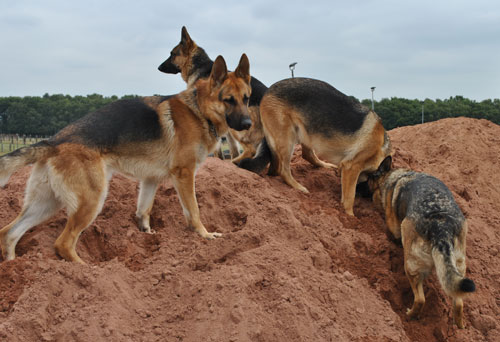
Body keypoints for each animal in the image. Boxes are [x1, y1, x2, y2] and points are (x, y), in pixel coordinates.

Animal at [0, 54, 250, 264]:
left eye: (247, 99)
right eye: (229, 100)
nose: (248, 124)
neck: (198, 108)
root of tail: (54, 141)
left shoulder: (151, 180)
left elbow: (144, 210)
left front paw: (146, 235)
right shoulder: (184, 175)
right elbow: (194, 211)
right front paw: (205, 236)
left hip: (46, 204)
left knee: (9, 233)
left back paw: (13, 267)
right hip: (91, 200)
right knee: (62, 243)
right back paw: (87, 269)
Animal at [240, 78, 392, 215]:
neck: (381, 148)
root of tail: (268, 90)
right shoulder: (351, 167)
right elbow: (349, 198)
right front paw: (350, 217)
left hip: (305, 132)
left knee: (301, 157)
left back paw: (325, 165)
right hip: (287, 138)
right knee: (282, 169)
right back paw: (298, 187)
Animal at [368, 158, 476, 328]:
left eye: (368, 178)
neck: (395, 177)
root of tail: (441, 229)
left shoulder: (394, 224)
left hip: (411, 264)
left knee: (420, 299)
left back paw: (410, 315)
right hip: (459, 266)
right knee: (458, 302)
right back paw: (458, 325)